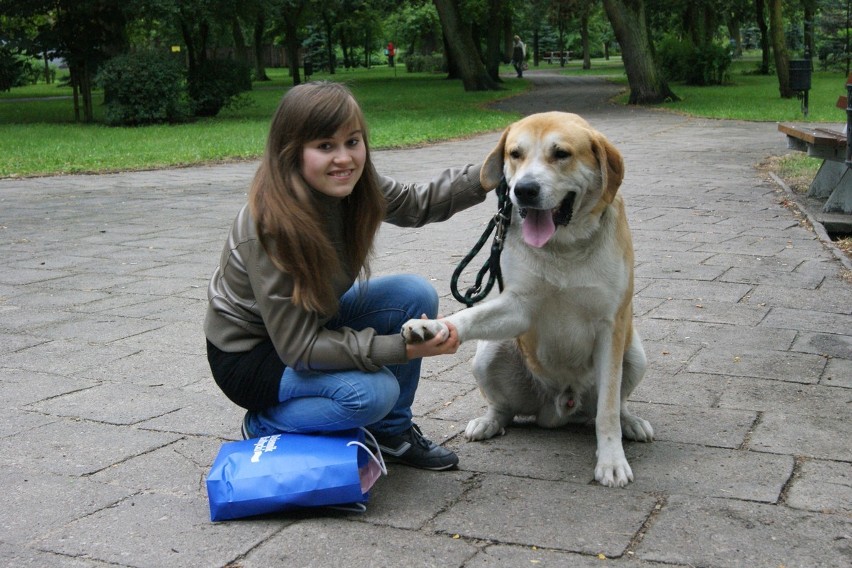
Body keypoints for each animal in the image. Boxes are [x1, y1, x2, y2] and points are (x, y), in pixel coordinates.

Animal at [404, 112, 652, 488]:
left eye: (561, 154)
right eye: (515, 154)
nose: (523, 190)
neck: (563, 247)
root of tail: (559, 407)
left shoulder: (612, 324)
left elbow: (607, 409)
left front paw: (611, 460)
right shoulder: (518, 308)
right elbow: (467, 317)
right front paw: (433, 326)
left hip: (634, 352)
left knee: (614, 403)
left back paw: (631, 422)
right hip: (490, 352)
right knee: (504, 408)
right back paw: (489, 421)